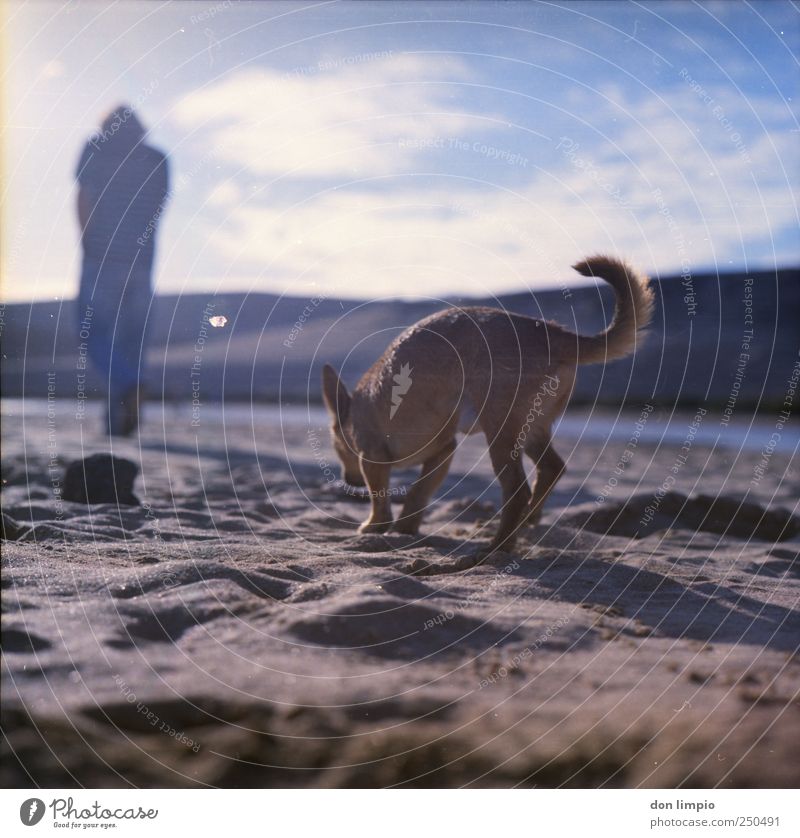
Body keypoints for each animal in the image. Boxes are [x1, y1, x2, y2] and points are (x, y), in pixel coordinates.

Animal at [322, 256, 652, 556]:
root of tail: (553, 334)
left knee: (517, 488)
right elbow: (419, 492)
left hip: (501, 433)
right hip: (532, 429)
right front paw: (406, 527)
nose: (348, 479)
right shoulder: (444, 452)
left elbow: (382, 497)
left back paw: (497, 546)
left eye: (337, 446)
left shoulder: (373, 458)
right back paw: (526, 521)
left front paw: (375, 526)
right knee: (551, 469)